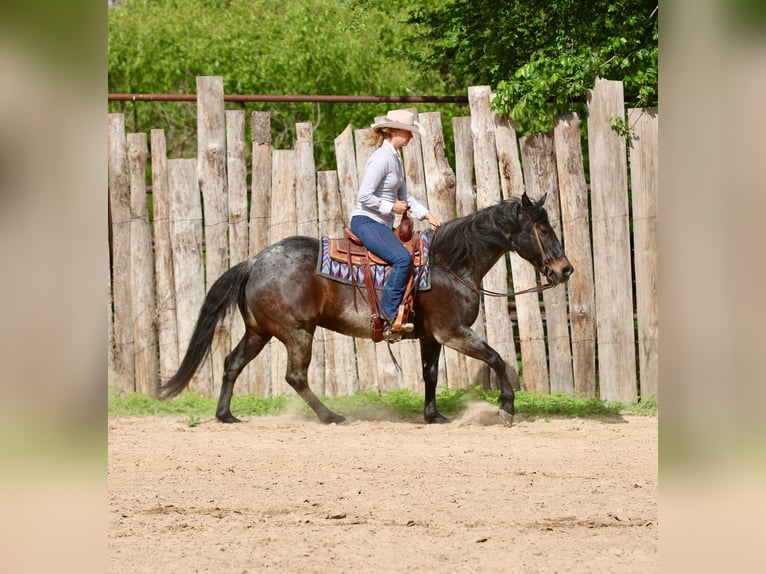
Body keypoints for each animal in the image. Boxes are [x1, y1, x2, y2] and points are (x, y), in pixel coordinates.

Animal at [160, 192, 573, 425]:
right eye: (543, 229)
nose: (564, 269)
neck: (450, 264)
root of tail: (255, 260)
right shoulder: (453, 332)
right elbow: (497, 358)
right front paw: (506, 406)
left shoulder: (430, 337)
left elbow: (430, 375)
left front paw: (434, 415)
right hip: (297, 332)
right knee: (295, 377)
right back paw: (331, 416)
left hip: (259, 332)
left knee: (232, 363)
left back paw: (226, 415)